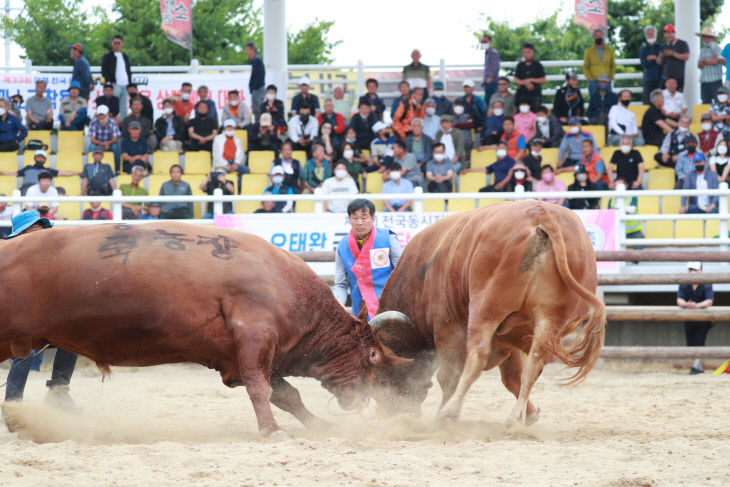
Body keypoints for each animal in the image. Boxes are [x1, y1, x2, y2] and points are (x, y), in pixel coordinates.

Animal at [0, 221, 404, 438]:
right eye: (372, 354)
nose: (366, 399)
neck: (288, 287)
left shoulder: (235, 360)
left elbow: (286, 395)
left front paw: (320, 425)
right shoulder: (254, 334)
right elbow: (262, 389)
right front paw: (272, 430)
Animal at [370, 201, 604, 428]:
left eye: (382, 380)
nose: (386, 413)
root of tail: (542, 214)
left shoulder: (447, 328)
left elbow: (450, 376)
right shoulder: (508, 338)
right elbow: (513, 377)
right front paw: (530, 414)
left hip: (485, 310)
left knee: (477, 357)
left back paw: (449, 412)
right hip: (549, 321)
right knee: (533, 364)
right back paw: (514, 417)